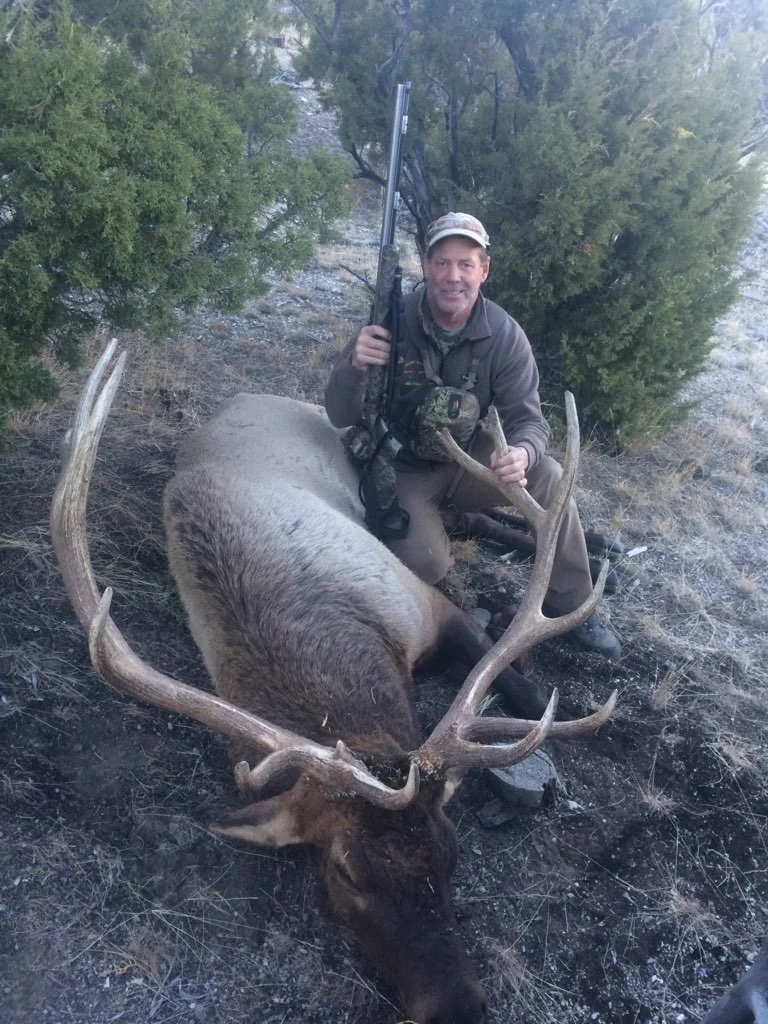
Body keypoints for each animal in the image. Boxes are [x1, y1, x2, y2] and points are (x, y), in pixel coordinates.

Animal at [50, 340, 616, 1024]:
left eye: (451, 853)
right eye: (345, 872)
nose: (458, 1007)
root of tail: (251, 394)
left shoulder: (424, 603)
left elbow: (523, 686)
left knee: (482, 514)